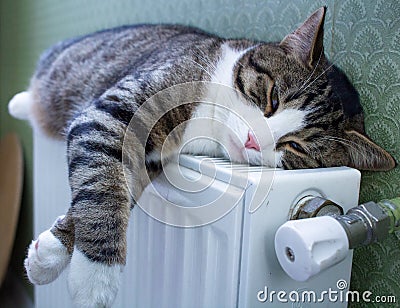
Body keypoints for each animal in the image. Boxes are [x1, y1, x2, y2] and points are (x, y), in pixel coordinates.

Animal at [7, 6, 396, 306]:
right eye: (272, 98)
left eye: (296, 146)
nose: (254, 140)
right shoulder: (116, 111)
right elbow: (103, 185)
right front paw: (94, 279)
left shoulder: (149, 155)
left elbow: (115, 185)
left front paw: (51, 253)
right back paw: (22, 102)